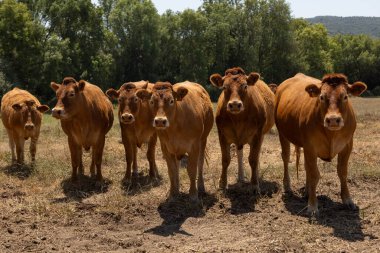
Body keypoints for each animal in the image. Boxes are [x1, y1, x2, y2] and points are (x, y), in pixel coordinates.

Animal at [274, 72, 366, 214]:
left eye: (345, 96)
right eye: (322, 97)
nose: (333, 119)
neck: (331, 134)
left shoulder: (347, 146)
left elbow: (342, 172)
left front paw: (348, 200)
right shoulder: (310, 146)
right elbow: (314, 175)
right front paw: (312, 205)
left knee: (306, 166)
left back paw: (307, 191)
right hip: (282, 134)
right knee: (286, 157)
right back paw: (288, 186)